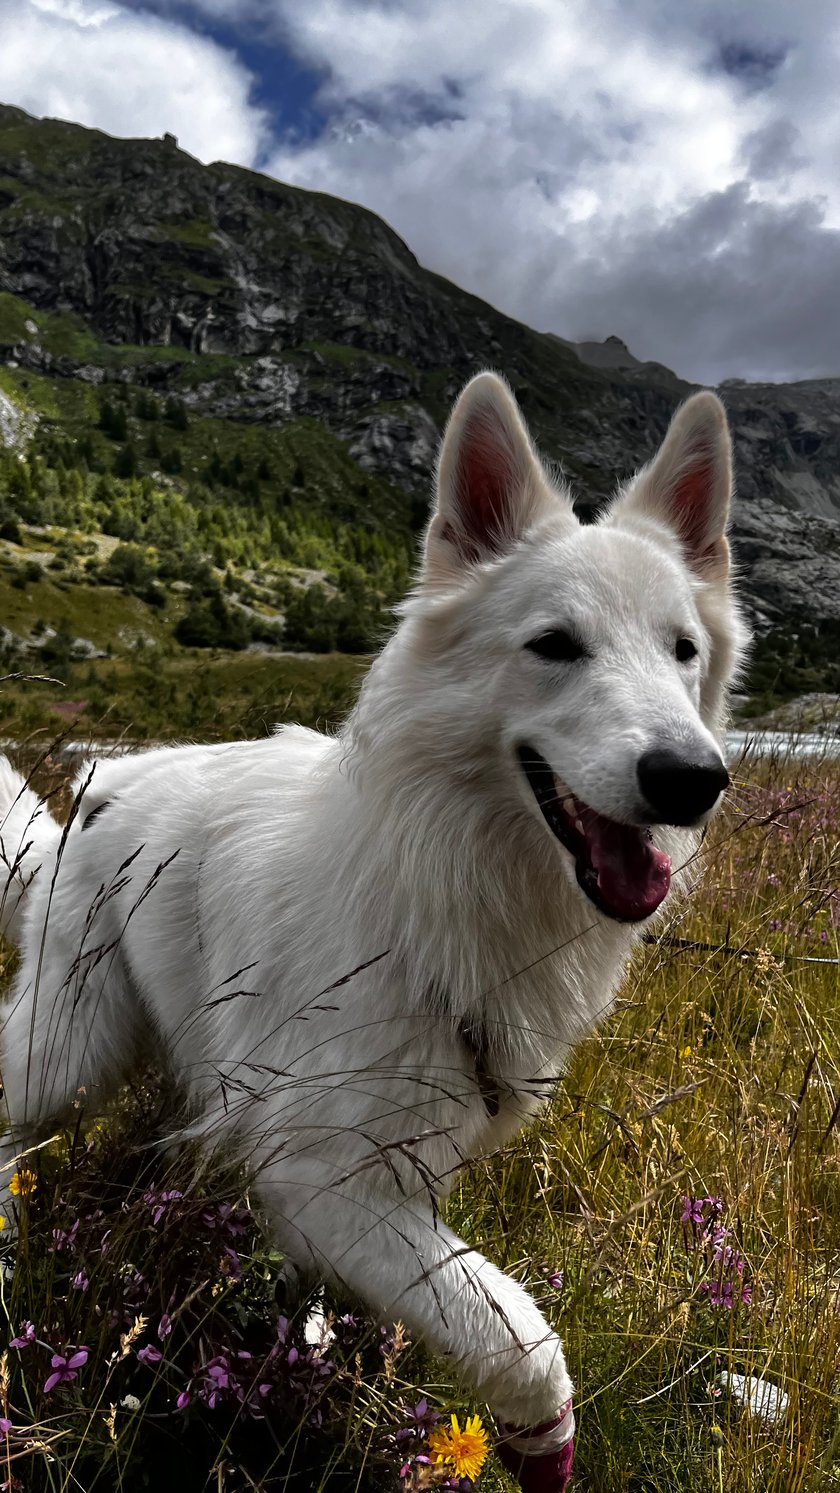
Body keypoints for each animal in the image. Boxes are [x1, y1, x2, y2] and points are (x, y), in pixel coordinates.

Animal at [0, 373, 748, 1481]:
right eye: (555, 645)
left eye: (683, 651)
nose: (695, 779)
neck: (437, 883)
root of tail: (95, 789)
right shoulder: (325, 1175)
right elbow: (523, 1341)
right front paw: (540, 1438)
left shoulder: (391, 1169)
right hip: (70, 1048)